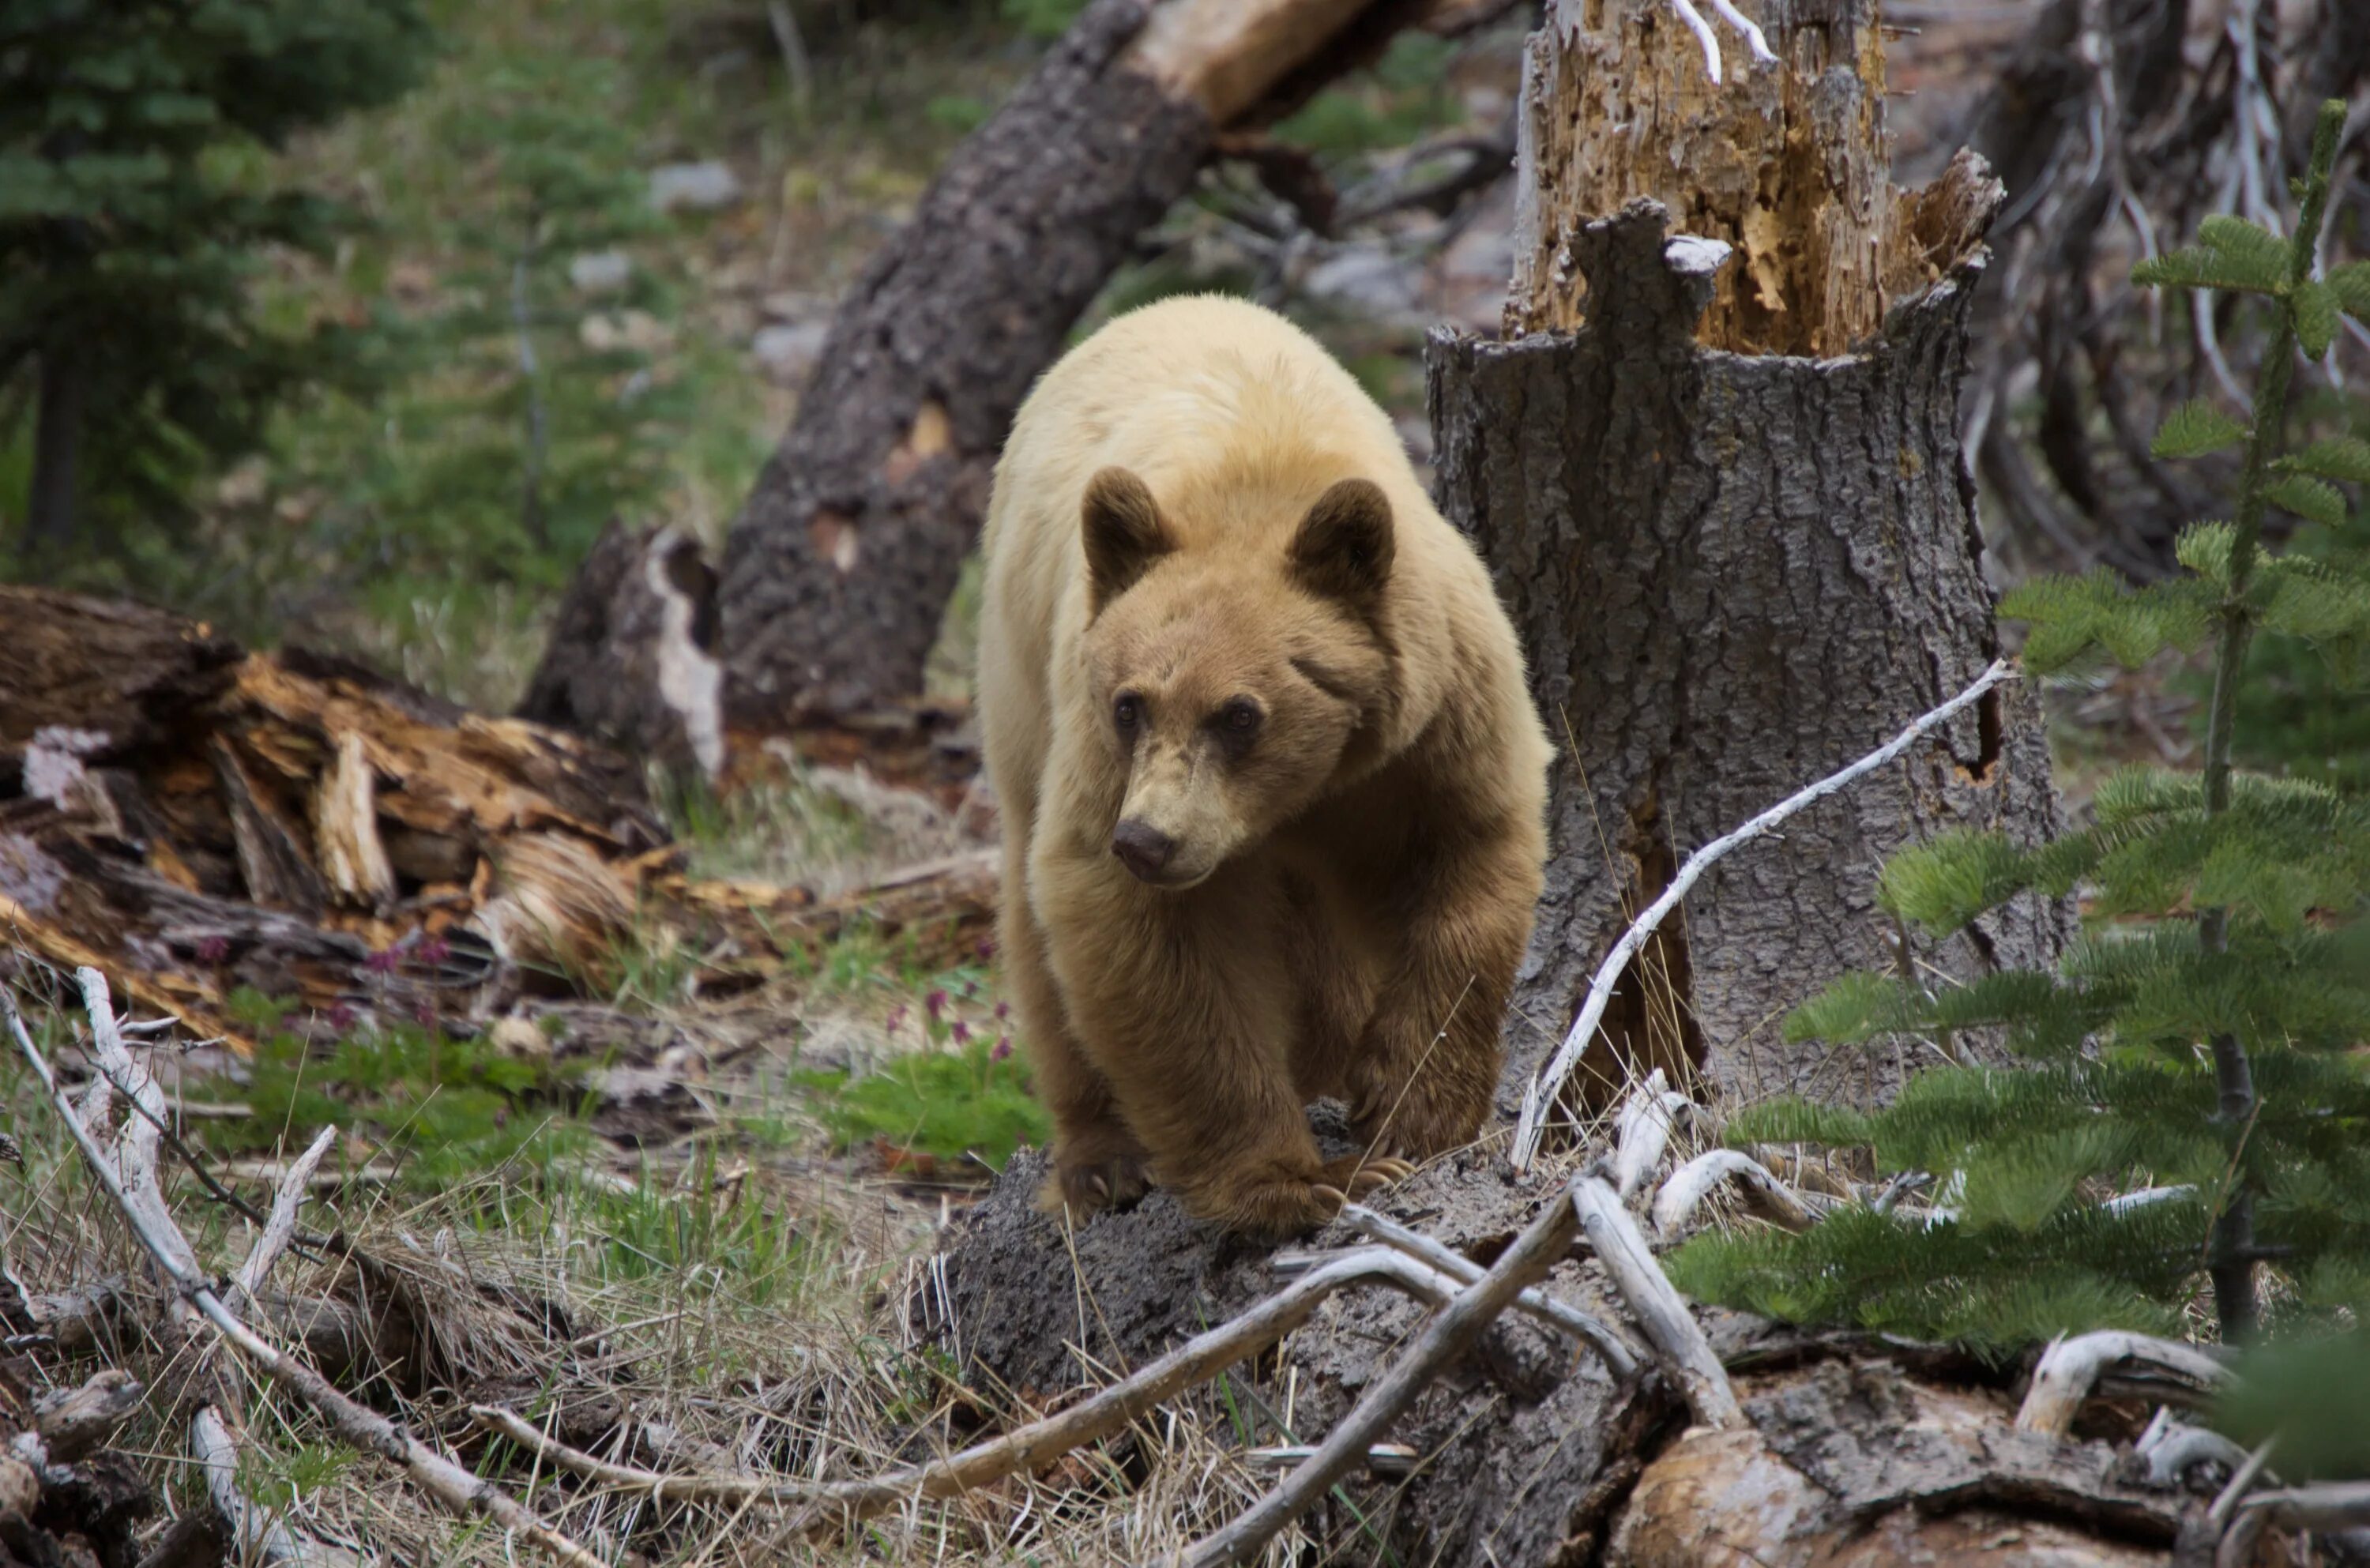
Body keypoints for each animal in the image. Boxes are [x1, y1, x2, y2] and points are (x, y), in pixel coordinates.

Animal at [972, 295, 1545, 1241]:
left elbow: (1465, 866)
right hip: (1022, 688)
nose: (1148, 839)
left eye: (1240, 713)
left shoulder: (1434, 725)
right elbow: (1159, 948)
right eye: (1131, 705)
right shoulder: (1102, 746)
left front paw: (1411, 1108)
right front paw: (1299, 1178)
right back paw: (1102, 1161)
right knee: (1035, 918)